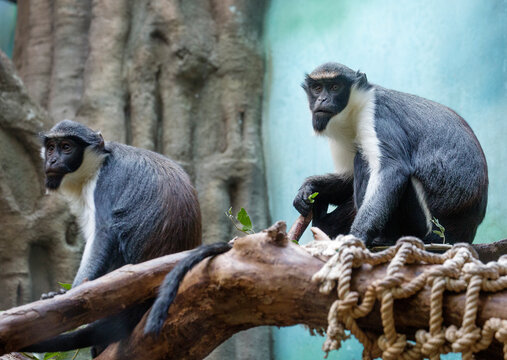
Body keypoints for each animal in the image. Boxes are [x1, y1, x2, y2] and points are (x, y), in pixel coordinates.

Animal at [294, 63, 488, 246]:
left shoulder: (377, 114)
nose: (322, 99)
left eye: (335, 87)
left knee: (362, 160)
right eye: (317, 88)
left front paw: (357, 236)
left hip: (426, 227)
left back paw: (383, 239)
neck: (355, 110)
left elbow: (392, 169)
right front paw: (310, 188)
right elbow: (348, 179)